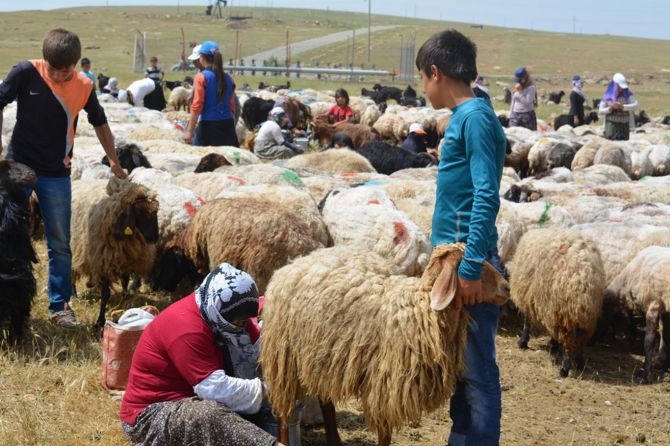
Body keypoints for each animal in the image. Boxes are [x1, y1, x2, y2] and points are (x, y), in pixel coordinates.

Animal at [70, 177, 160, 328]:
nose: (154, 238)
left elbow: (124, 282)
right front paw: (100, 322)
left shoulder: (127, 261)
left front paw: (125, 300)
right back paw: (74, 294)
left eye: (155, 213)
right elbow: (105, 294)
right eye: (139, 212)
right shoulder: (103, 262)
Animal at [260, 244, 512, 446]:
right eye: (474, 266)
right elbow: (385, 434)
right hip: (284, 356)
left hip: (323, 356)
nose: (506, 288)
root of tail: (296, 262)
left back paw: (335, 441)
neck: (423, 309)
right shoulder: (384, 386)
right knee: (284, 412)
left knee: (325, 400)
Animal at [510, 228, 608, 378]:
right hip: (585, 316)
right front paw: (553, 346)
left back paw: (564, 369)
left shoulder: (529, 296)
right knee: (581, 341)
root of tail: (584, 276)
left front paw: (523, 342)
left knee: (568, 344)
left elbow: (527, 322)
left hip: (565, 312)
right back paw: (579, 363)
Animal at [604, 246, 670, 382]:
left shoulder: (653, 305)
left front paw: (645, 374)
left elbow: (649, 341)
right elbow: (666, 335)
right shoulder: (664, 308)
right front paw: (663, 365)